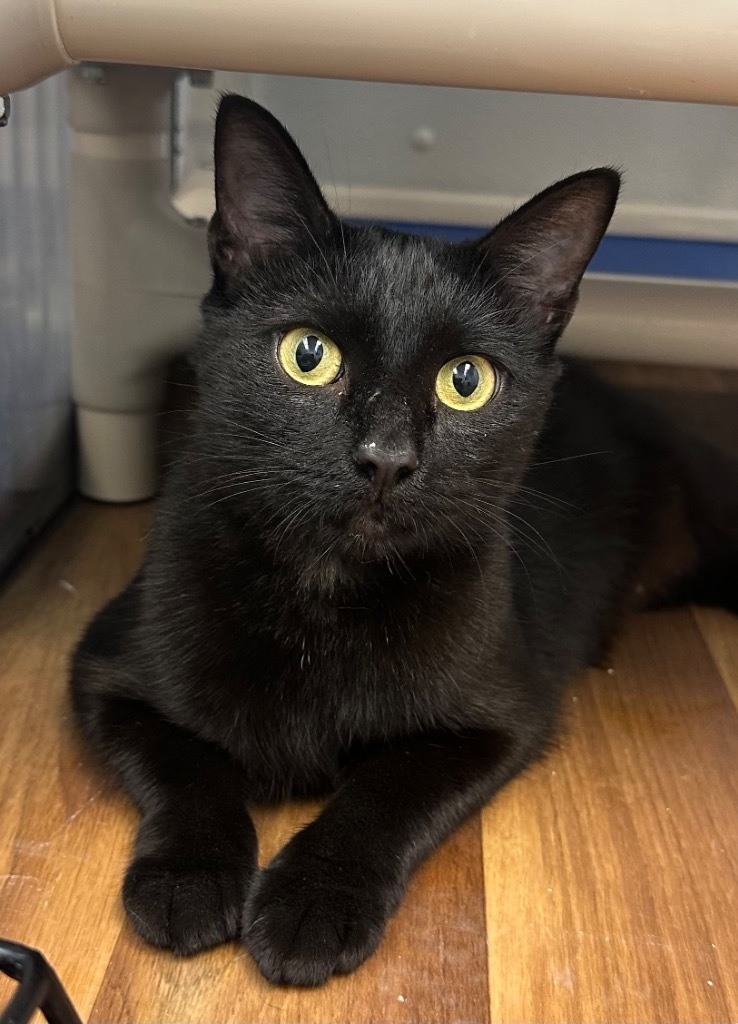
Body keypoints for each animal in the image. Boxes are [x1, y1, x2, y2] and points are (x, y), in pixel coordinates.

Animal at [70, 94, 736, 983]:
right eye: (307, 355)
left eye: (467, 381)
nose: (386, 458)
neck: (326, 589)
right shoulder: (104, 671)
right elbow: (186, 763)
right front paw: (188, 877)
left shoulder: (497, 718)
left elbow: (385, 791)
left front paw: (314, 901)